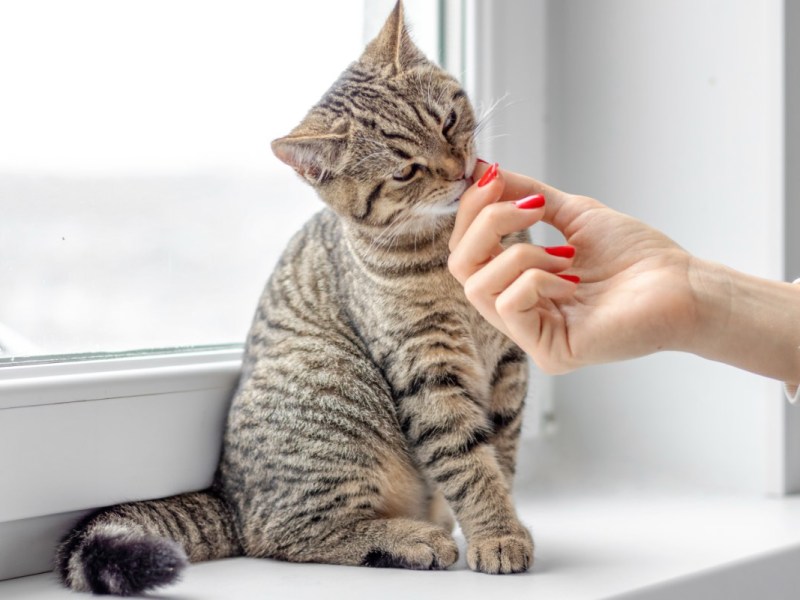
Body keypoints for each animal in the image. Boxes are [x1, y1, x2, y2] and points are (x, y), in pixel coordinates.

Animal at [54, 1, 532, 596]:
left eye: (447, 121)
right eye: (405, 171)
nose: (461, 170)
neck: (449, 244)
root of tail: (227, 496)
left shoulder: (509, 357)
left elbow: (501, 452)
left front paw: (504, 521)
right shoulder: (426, 366)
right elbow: (466, 459)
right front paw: (497, 533)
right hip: (335, 390)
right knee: (284, 534)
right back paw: (411, 539)